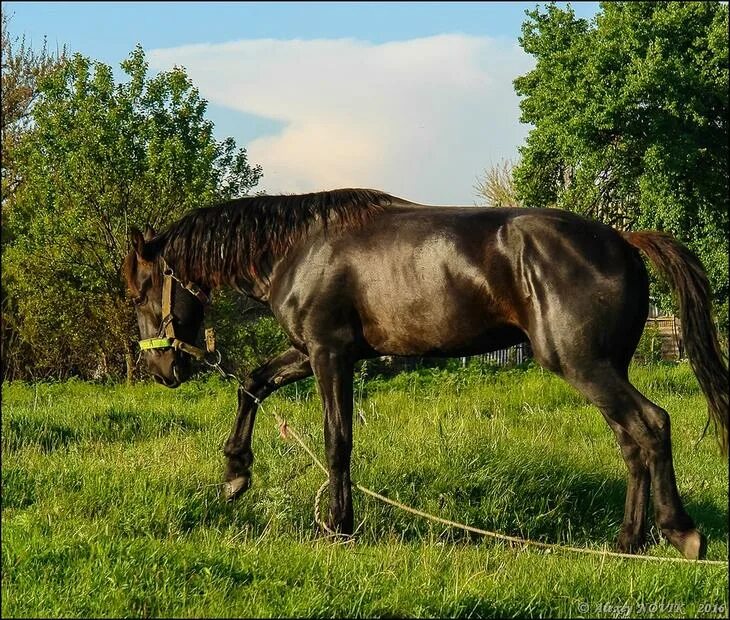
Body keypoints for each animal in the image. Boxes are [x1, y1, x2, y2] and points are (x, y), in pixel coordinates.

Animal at [122, 186, 724, 560]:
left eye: (141, 290)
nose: (161, 368)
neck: (298, 249)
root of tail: (623, 241)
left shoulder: (329, 354)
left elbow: (337, 439)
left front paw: (338, 527)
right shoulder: (309, 351)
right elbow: (252, 383)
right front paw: (236, 472)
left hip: (583, 364)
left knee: (651, 425)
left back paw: (681, 532)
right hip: (602, 367)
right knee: (631, 442)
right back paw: (627, 542)